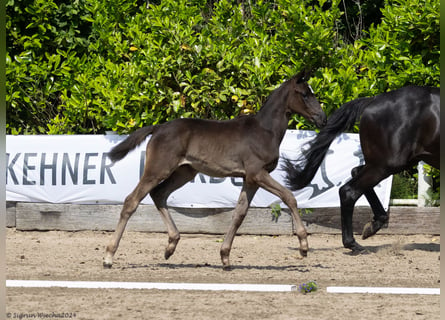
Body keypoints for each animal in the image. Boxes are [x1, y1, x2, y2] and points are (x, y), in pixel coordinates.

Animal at [282, 85, 438, 252]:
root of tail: (374, 99)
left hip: (390, 162)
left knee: (355, 173)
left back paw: (372, 227)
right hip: (388, 164)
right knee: (348, 191)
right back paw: (352, 242)